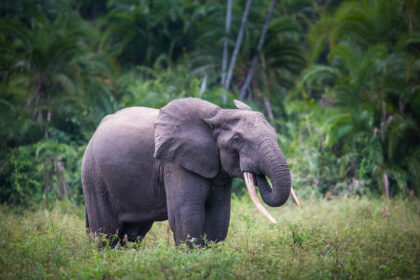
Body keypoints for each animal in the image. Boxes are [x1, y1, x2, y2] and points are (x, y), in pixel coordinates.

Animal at [81, 98, 298, 247]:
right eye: (237, 139)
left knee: (134, 233)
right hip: (94, 177)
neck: (217, 114)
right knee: (106, 233)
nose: (256, 173)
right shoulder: (176, 164)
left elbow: (219, 216)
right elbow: (186, 215)